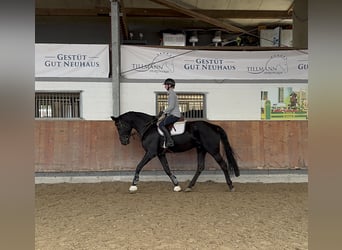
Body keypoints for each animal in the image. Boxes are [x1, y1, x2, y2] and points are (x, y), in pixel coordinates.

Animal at [111, 112, 239, 193]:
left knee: (223, 165)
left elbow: (138, 166)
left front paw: (133, 185)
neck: (148, 128)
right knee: (200, 167)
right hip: (201, 149)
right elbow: (167, 169)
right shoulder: (160, 154)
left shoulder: (151, 153)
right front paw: (177, 185)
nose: (123, 141)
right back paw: (189, 187)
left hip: (212, 150)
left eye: (119, 125)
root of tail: (213, 126)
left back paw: (231, 186)